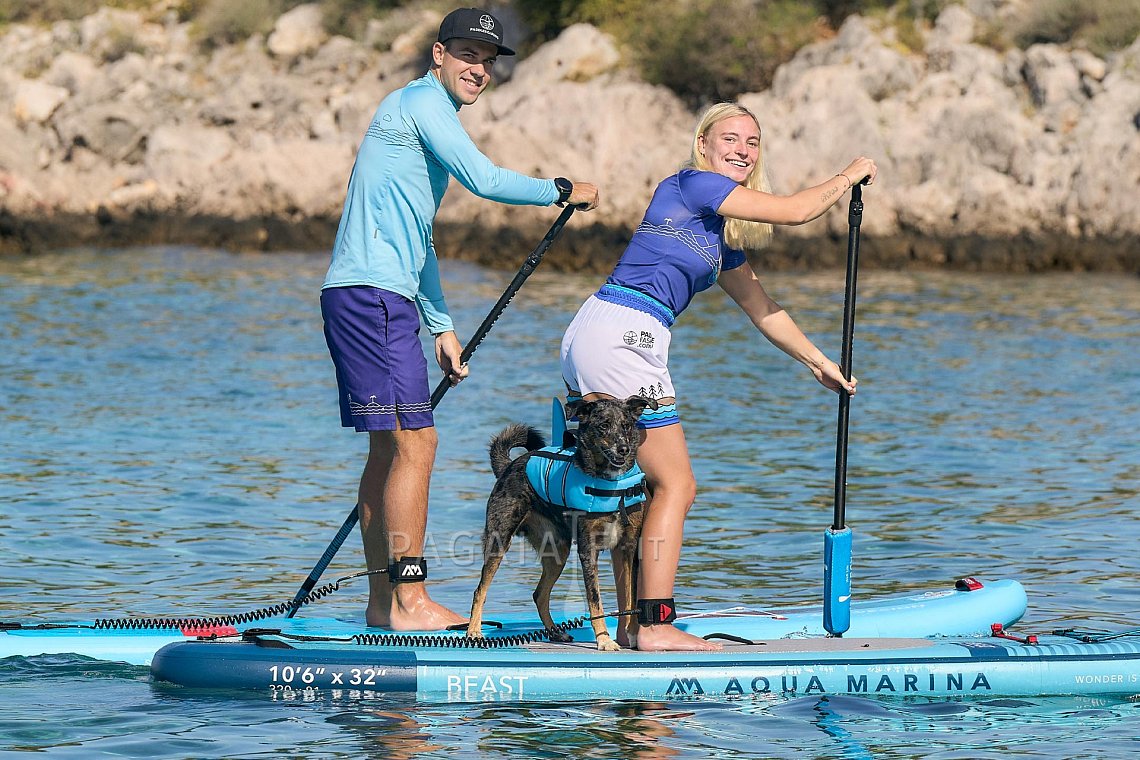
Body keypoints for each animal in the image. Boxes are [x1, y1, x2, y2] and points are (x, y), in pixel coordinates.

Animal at [465, 396, 661, 651]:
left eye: (626, 425)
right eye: (604, 426)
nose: (623, 449)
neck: (611, 485)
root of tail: (509, 465)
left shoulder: (629, 547)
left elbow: (631, 598)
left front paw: (633, 635)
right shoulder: (588, 551)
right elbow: (595, 599)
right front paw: (604, 640)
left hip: (558, 551)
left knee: (539, 594)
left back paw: (556, 632)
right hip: (498, 542)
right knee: (480, 590)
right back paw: (473, 631)